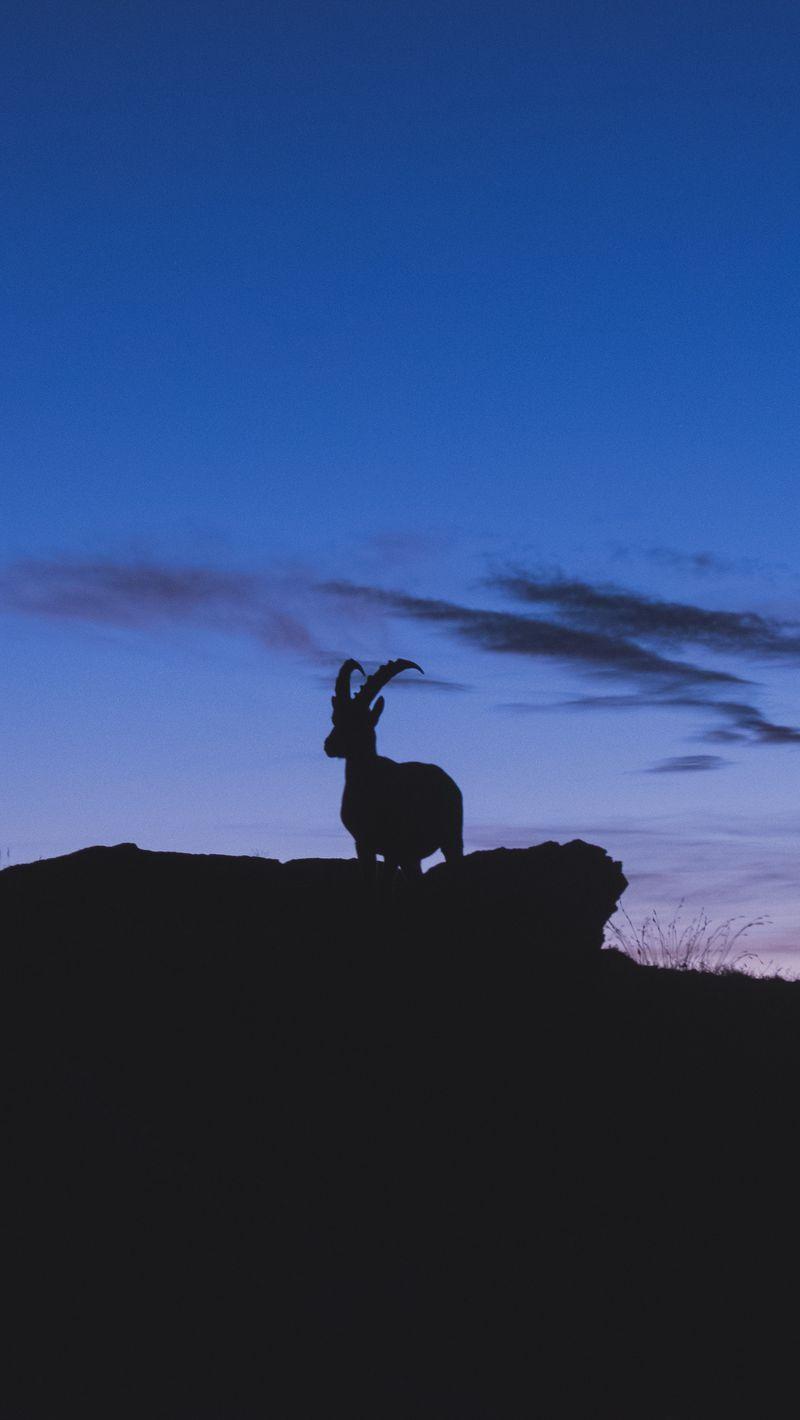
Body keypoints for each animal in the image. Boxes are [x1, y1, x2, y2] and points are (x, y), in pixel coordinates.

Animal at [324, 658, 463, 880]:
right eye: (335, 718)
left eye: (360, 722)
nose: (329, 745)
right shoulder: (363, 844)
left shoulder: (394, 848)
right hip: (412, 857)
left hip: (451, 839)